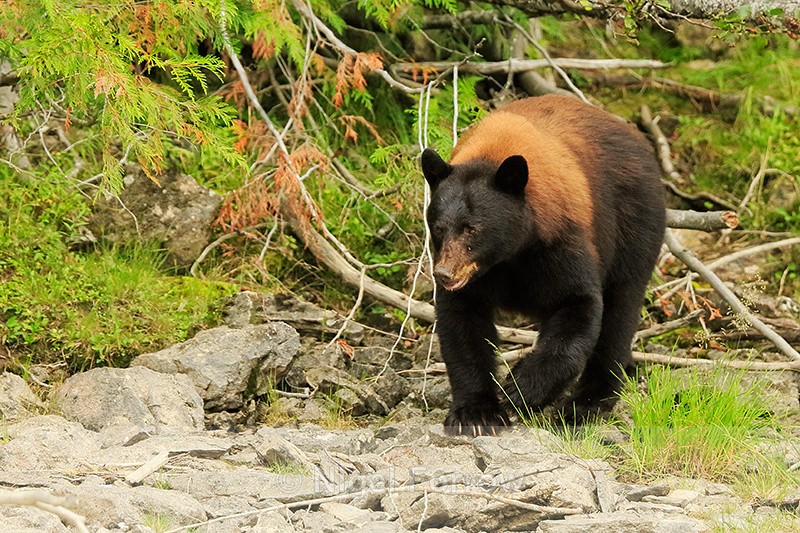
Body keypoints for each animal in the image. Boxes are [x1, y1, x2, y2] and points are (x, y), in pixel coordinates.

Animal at [420, 94, 666, 436]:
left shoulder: (559, 244)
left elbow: (578, 304)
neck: (510, 255)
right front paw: (476, 413)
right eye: (439, 227)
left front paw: (522, 388)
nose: (443, 274)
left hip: (634, 226)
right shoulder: (475, 279)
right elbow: (462, 326)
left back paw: (586, 404)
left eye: (472, 228)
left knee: (621, 310)